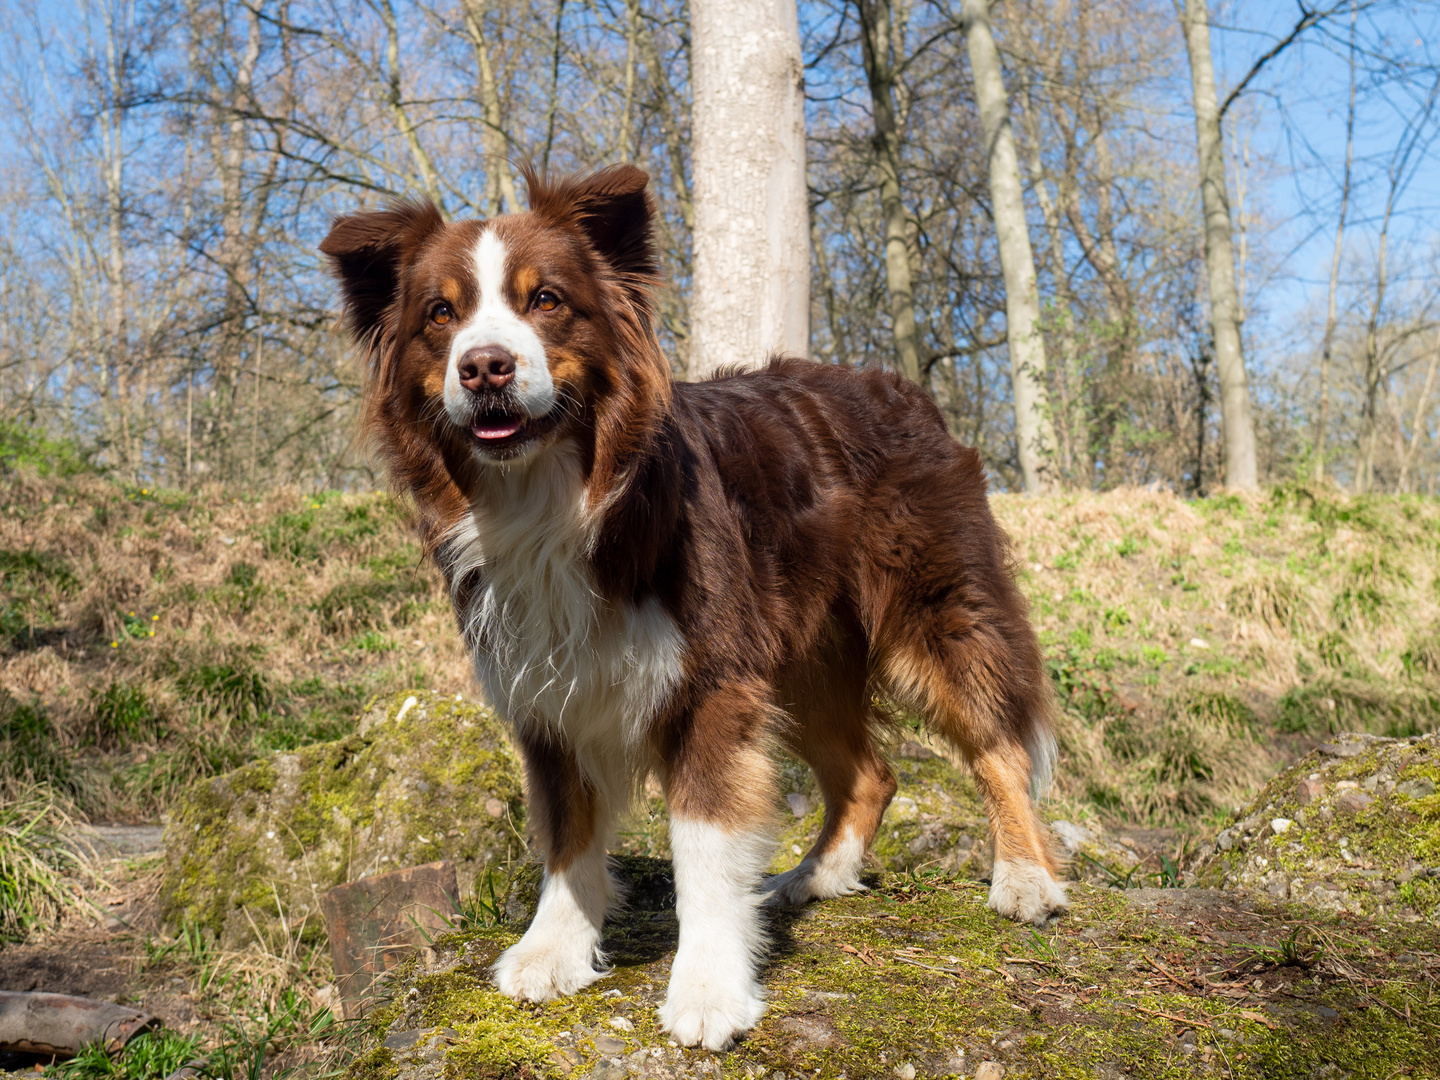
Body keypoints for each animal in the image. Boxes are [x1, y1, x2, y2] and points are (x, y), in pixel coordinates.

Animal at [326, 164, 1071, 1054]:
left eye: (546, 300)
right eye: (441, 315)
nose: (485, 368)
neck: (556, 503)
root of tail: (898, 388)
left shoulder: (710, 684)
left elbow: (705, 847)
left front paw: (710, 985)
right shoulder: (546, 690)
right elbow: (567, 833)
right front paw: (555, 948)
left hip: (933, 611)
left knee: (997, 743)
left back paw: (1025, 877)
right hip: (802, 661)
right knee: (870, 773)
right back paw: (813, 877)